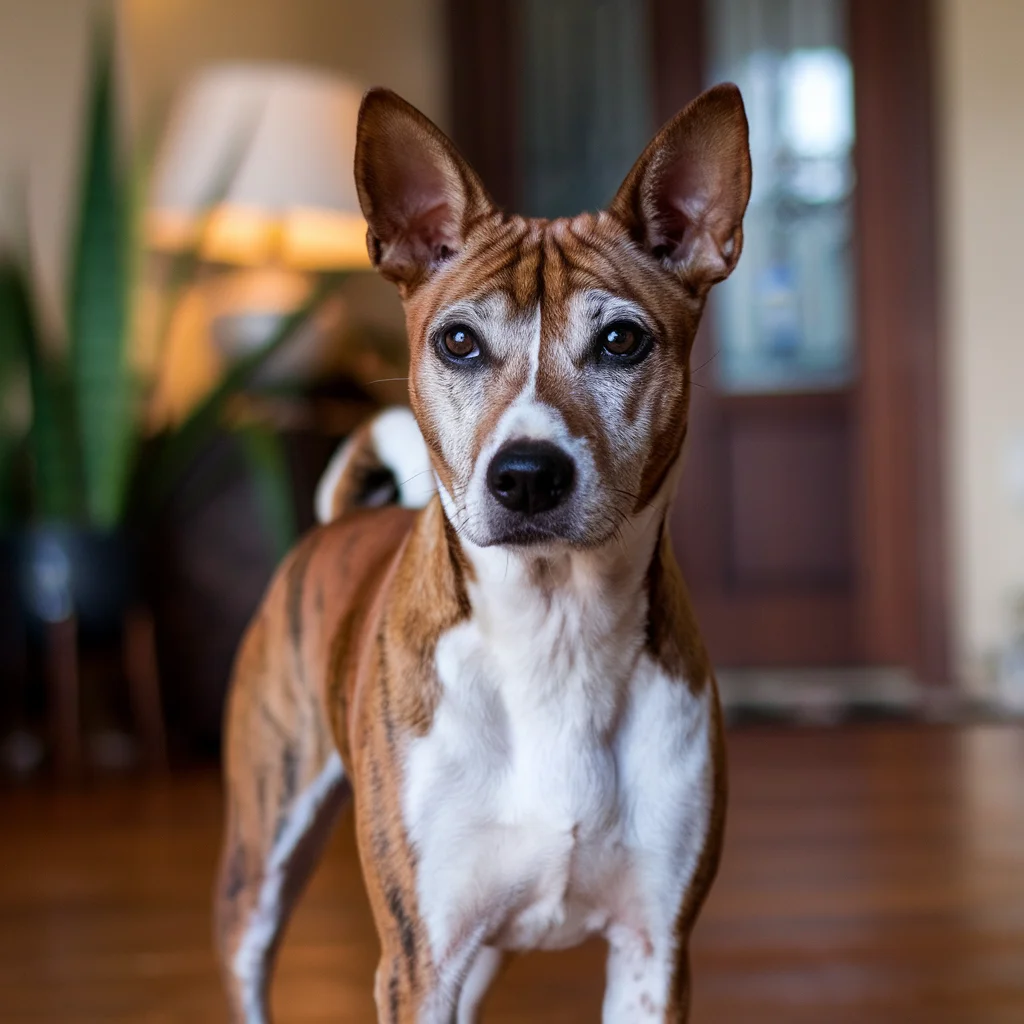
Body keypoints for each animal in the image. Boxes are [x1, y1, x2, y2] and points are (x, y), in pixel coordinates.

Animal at [216, 81, 749, 1024]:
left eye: (622, 341)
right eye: (458, 341)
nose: (527, 475)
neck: (555, 634)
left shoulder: (654, 950)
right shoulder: (419, 959)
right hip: (262, 862)